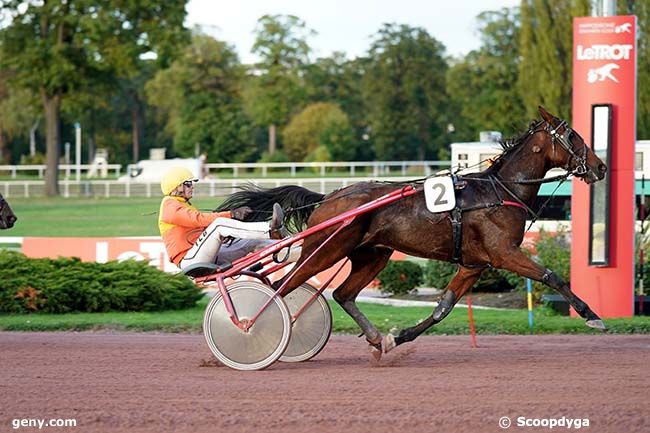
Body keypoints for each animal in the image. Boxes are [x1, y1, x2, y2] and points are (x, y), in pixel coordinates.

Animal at [218, 107, 608, 358]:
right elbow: (551, 275)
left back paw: (376, 339)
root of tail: (330, 197)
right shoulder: (503, 254)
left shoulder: (474, 264)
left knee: (342, 293)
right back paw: (250, 327)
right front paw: (593, 316)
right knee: (282, 286)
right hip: (326, 249)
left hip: (373, 254)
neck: (499, 191)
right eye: (573, 135)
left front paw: (400, 336)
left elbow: (443, 309)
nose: (601, 166)